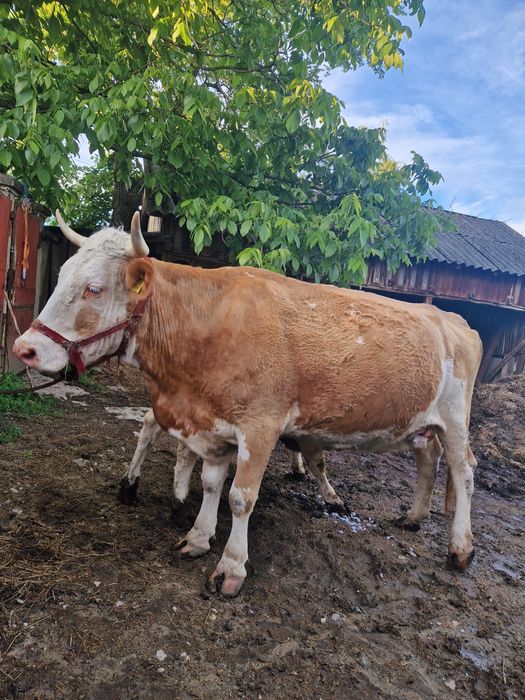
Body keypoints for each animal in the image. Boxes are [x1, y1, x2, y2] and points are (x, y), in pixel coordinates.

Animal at [14, 211, 483, 597]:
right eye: (61, 275)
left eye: (93, 289)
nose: (24, 348)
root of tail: (452, 318)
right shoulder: (213, 424)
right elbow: (210, 484)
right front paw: (197, 537)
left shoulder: (261, 426)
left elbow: (240, 497)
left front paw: (231, 567)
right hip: (422, 423)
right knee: (428, 460)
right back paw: (414, 516)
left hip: (455, 418)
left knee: (464, 472)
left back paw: (460, 548)